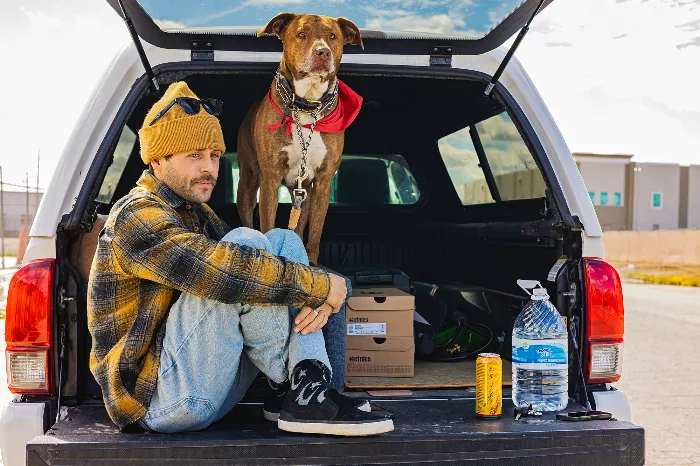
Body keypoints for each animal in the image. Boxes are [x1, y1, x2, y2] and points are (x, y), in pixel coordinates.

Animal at [237, 12, 364, 264]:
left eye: (332, 36)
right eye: (301, 33)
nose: (322, 52)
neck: (307, 105)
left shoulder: (322, 183)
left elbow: (314, 235)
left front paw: (311, 265)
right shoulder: (270, 178)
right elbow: (268, 225)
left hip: (303, 192)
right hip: (248, 181)